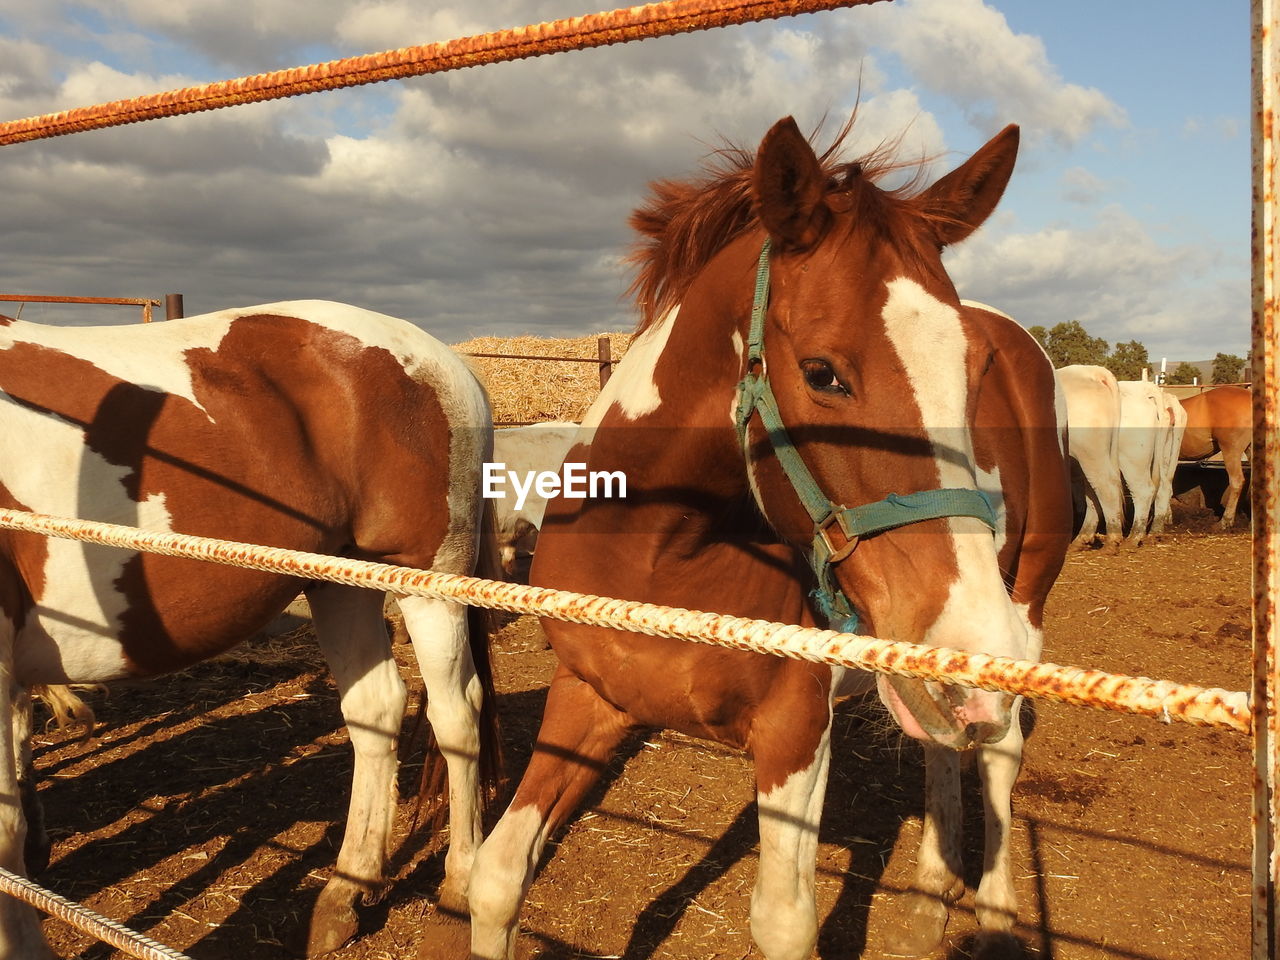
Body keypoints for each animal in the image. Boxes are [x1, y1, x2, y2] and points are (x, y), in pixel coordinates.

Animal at [0, 302, 499, 960]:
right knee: (376, 709)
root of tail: (446, 362)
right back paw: (347, 892)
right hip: (340, 580)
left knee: (455, 714)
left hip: (427, 580)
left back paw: (460, 888)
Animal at [1054, 363, 1126, 552]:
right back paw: (1081, 539)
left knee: (1106, 486)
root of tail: (1093, 371)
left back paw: (1112, 541)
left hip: (1089, 451)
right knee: (1093, 491)